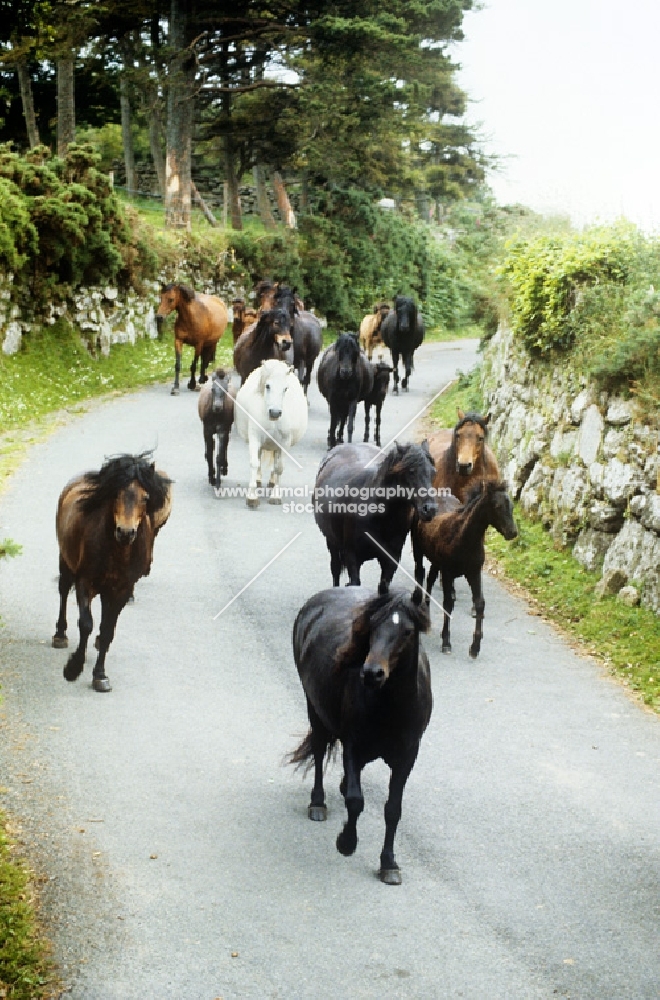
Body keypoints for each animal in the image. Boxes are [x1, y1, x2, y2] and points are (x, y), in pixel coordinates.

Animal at [52, 458, 173, 692]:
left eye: (146, 497)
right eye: (115, 493)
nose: (125, 532)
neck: (118, 550)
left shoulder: (123, 589)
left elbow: (108, 629)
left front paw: (100, 675)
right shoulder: (85, 581)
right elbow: (86, 624)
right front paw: (73, 669)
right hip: (66, 561)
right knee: (63, 590)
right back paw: (60, 635)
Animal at [235, 360, 310, 508]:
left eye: (285, 389)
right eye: (267, 386)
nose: (275, 413)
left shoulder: (285, 442)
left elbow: (279, 468)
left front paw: (275, 496)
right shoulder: (255, 438)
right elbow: (254, 463)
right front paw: (252, 497)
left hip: (277, 446)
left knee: (275, 464)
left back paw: (272, 481)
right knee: (259, 458)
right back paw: (258, 480)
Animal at [288, 584, 434, 884]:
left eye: (408, 631)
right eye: (372, 625)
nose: (372, 673)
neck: (389, 705)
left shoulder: (407, 757)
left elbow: (392, 810)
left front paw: (389, 863)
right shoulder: (353, 745)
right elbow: (356, 801)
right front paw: (346, 842)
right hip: (315, 711)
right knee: (318, 751)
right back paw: (317, 804)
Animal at [314, 440, 438, 592]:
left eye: (433, 473)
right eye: (411, 471)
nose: (430, 509)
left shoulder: (391, 559)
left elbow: (383, 587)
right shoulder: (352, 556)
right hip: (332, 542)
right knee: (335, 569)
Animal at [412, 480, 516, 660]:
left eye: (512, 506)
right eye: (497, 506)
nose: (512, 532)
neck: (463, 539)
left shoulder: (474, 573)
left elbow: (480, 604)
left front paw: (475, 647)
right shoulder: (448, 573)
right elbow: (448, 603)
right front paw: (446, 642)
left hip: (436, 561)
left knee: (430, 578)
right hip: (418, 549)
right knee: (420, 573)